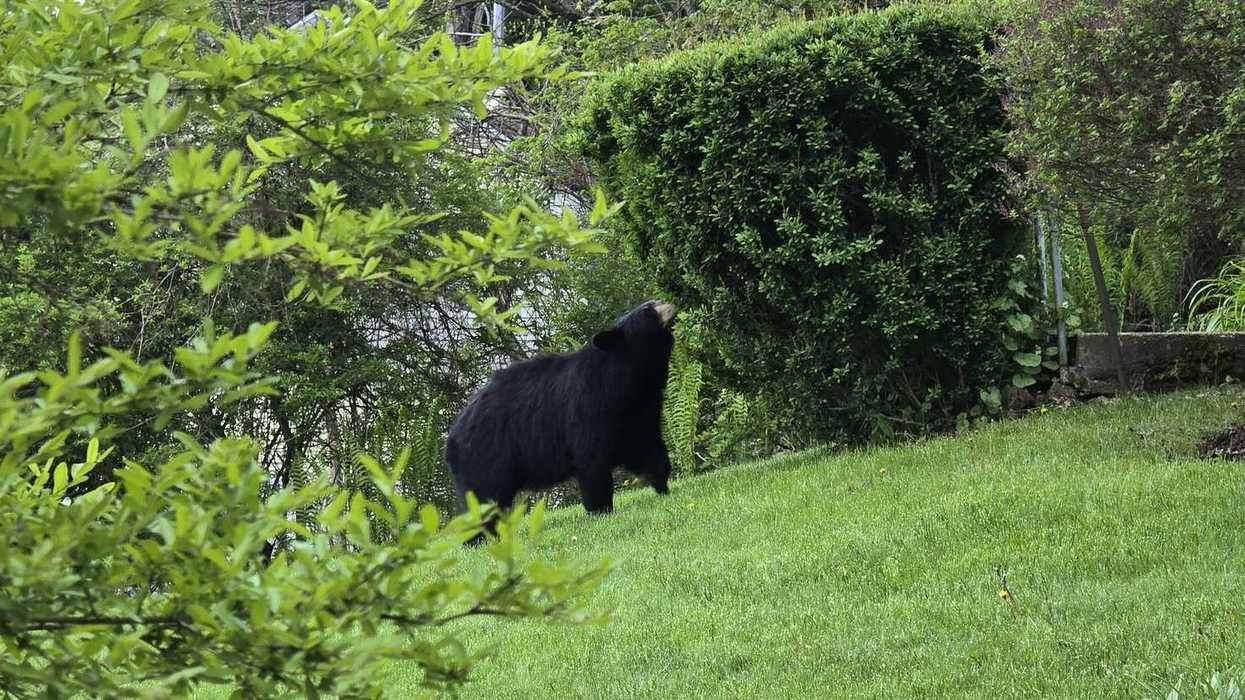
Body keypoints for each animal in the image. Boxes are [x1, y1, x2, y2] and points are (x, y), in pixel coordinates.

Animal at [445, 300, 678, 521]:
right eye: (648, 310)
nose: (671, 303)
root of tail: (452, 436)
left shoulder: (639, 412)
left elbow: (647, 446)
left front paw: (663, 487)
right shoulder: (587, 411)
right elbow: (591, 464)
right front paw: (600, 509)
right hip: (485, 456)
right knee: (483, 498)